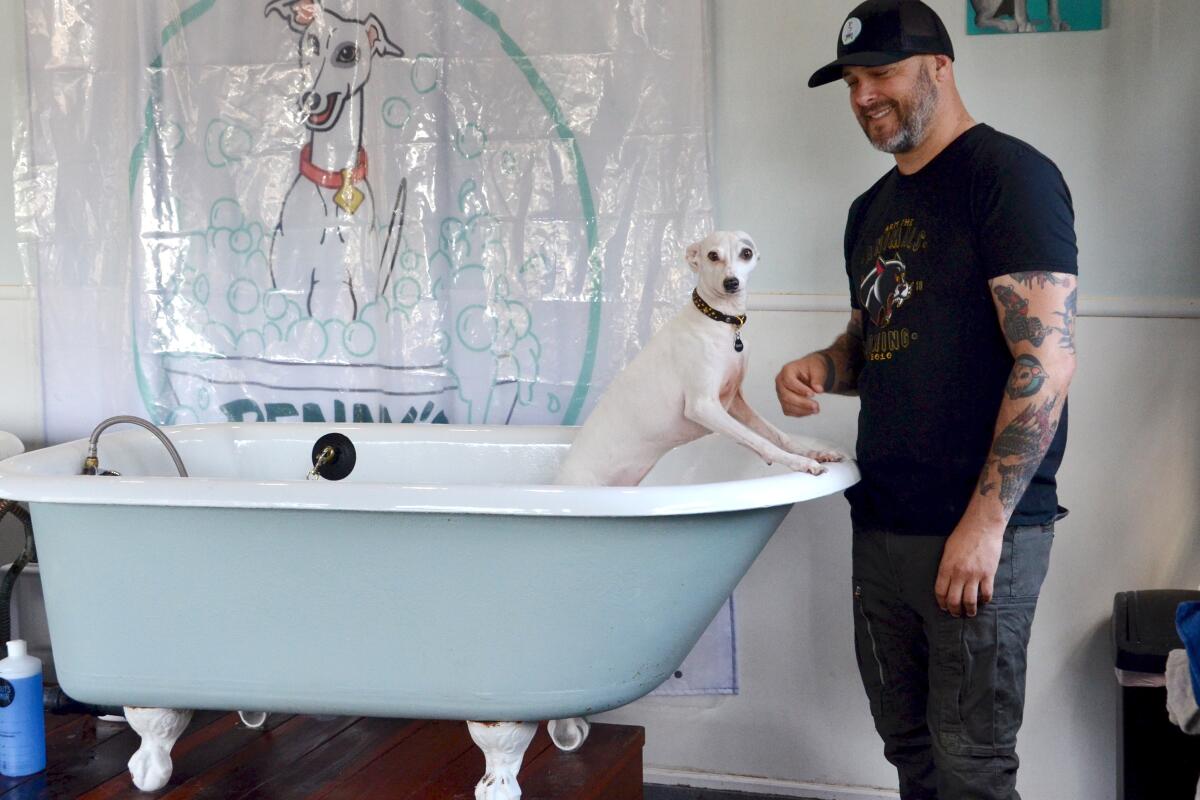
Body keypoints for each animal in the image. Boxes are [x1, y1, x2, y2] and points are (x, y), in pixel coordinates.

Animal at [556, 227, 840, 484]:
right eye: (713, 255)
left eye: (746, 253)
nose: (731, 283)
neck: (720, 321)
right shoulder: (704, 406)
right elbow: (761, 441)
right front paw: (802, 463)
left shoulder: (735, 402)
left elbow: (776, 435)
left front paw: (814, 452)